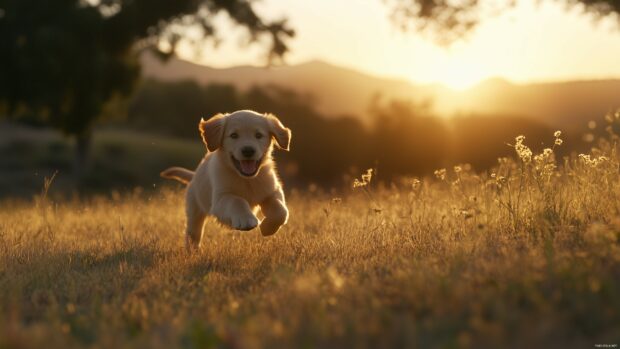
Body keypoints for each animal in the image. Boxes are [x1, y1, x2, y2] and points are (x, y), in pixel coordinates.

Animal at [162, 110, 294, 249]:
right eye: (234, 135)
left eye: (258, 135)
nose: (248, 150)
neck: (246, 179)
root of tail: (194, 176)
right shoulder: (220, 199)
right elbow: (237, 200)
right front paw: (246, 219)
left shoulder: (273, 191)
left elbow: (280, 210)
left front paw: (268, 228)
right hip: (194, 210)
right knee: (192, 234)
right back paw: (192, 251)